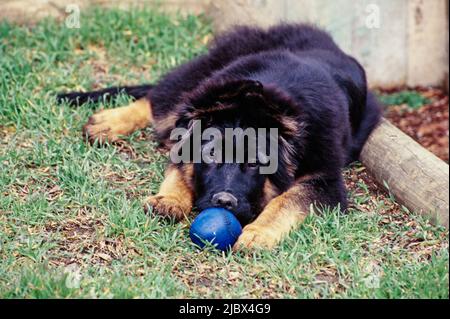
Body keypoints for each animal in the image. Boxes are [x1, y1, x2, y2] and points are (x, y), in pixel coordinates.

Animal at [55, 23, 380, 251]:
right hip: (202, 77)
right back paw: (109, 123)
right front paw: (169, 199)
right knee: (159, 100)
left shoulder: (325, 180)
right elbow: (179, 167)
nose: (223, 201)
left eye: (254, 165)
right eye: (210, 157)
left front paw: (258, 233)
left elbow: (287, 201)